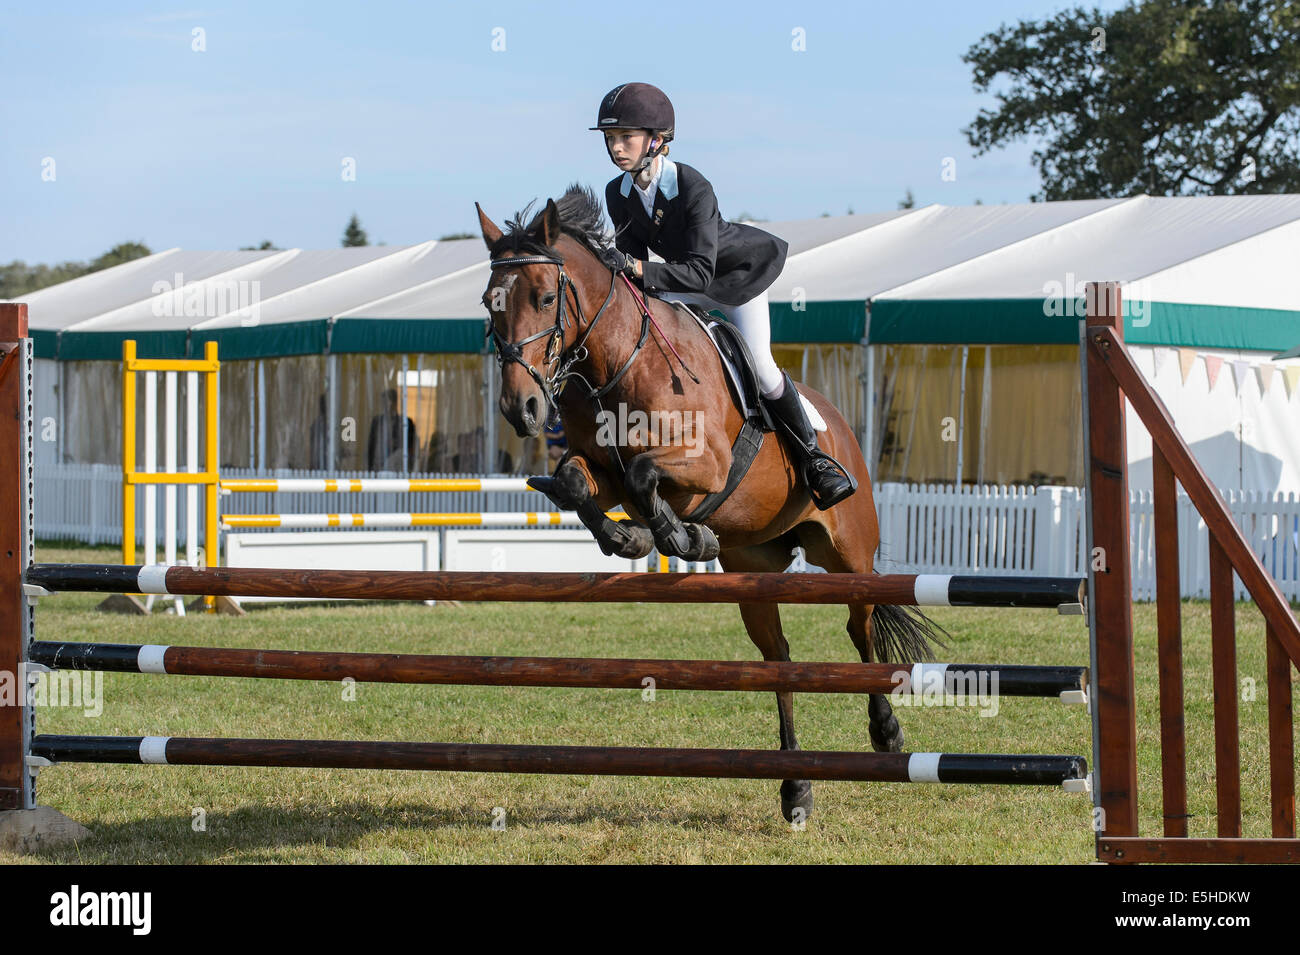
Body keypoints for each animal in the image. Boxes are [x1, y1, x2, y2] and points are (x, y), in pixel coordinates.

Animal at [478, 184, 946, 821]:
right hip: (753, 569)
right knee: (780, 661)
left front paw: (680, 536)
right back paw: (795, 788)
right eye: (489, 304)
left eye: (546, 297)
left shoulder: (706, 464)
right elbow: (576, 481)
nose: (521, 409)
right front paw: (633, 538)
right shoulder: (603, 472)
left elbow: (647, 474)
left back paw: (887, 732)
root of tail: (840, 423)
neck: (616, 361)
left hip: (849, 554)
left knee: (861, 627)